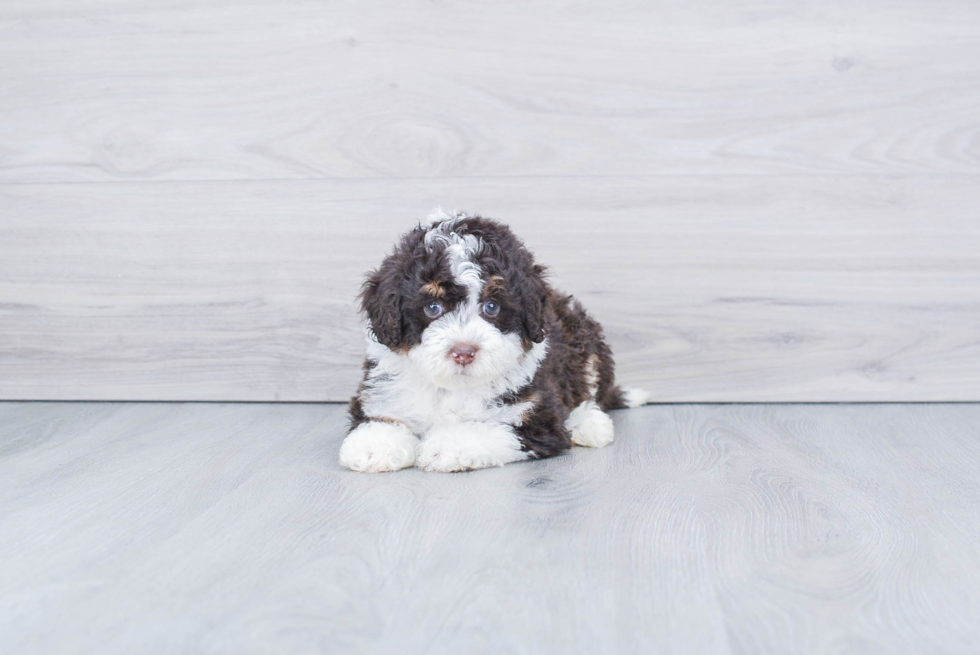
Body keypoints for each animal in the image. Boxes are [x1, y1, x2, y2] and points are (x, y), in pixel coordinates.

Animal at [340, 210, 648, 472]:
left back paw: (590, 424)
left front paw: (445, 447)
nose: (463, 352)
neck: (453, 387)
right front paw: (374, 445)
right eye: (432, 308)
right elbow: (382, 417)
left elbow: (487, 428)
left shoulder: (535, 415)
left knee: (590, 391)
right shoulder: (382, 392)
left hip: (585, 344)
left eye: (491, 307)